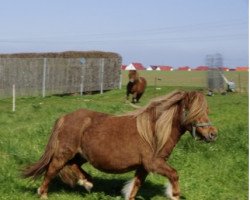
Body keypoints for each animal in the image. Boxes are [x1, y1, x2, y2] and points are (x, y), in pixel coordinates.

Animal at [21, 91, 217, 200]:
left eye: (207, 111)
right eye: (194, 112)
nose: (213, 134)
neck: (154, 132)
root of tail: (65, 117)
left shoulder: (143, 167)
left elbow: (135, 186)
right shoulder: (154, 164)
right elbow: (174, 175)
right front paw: (174, 195)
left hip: (81, 155)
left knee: (72, 165)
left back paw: (87, 182)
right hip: (65, 152)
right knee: (53, 168)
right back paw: (43, 193)